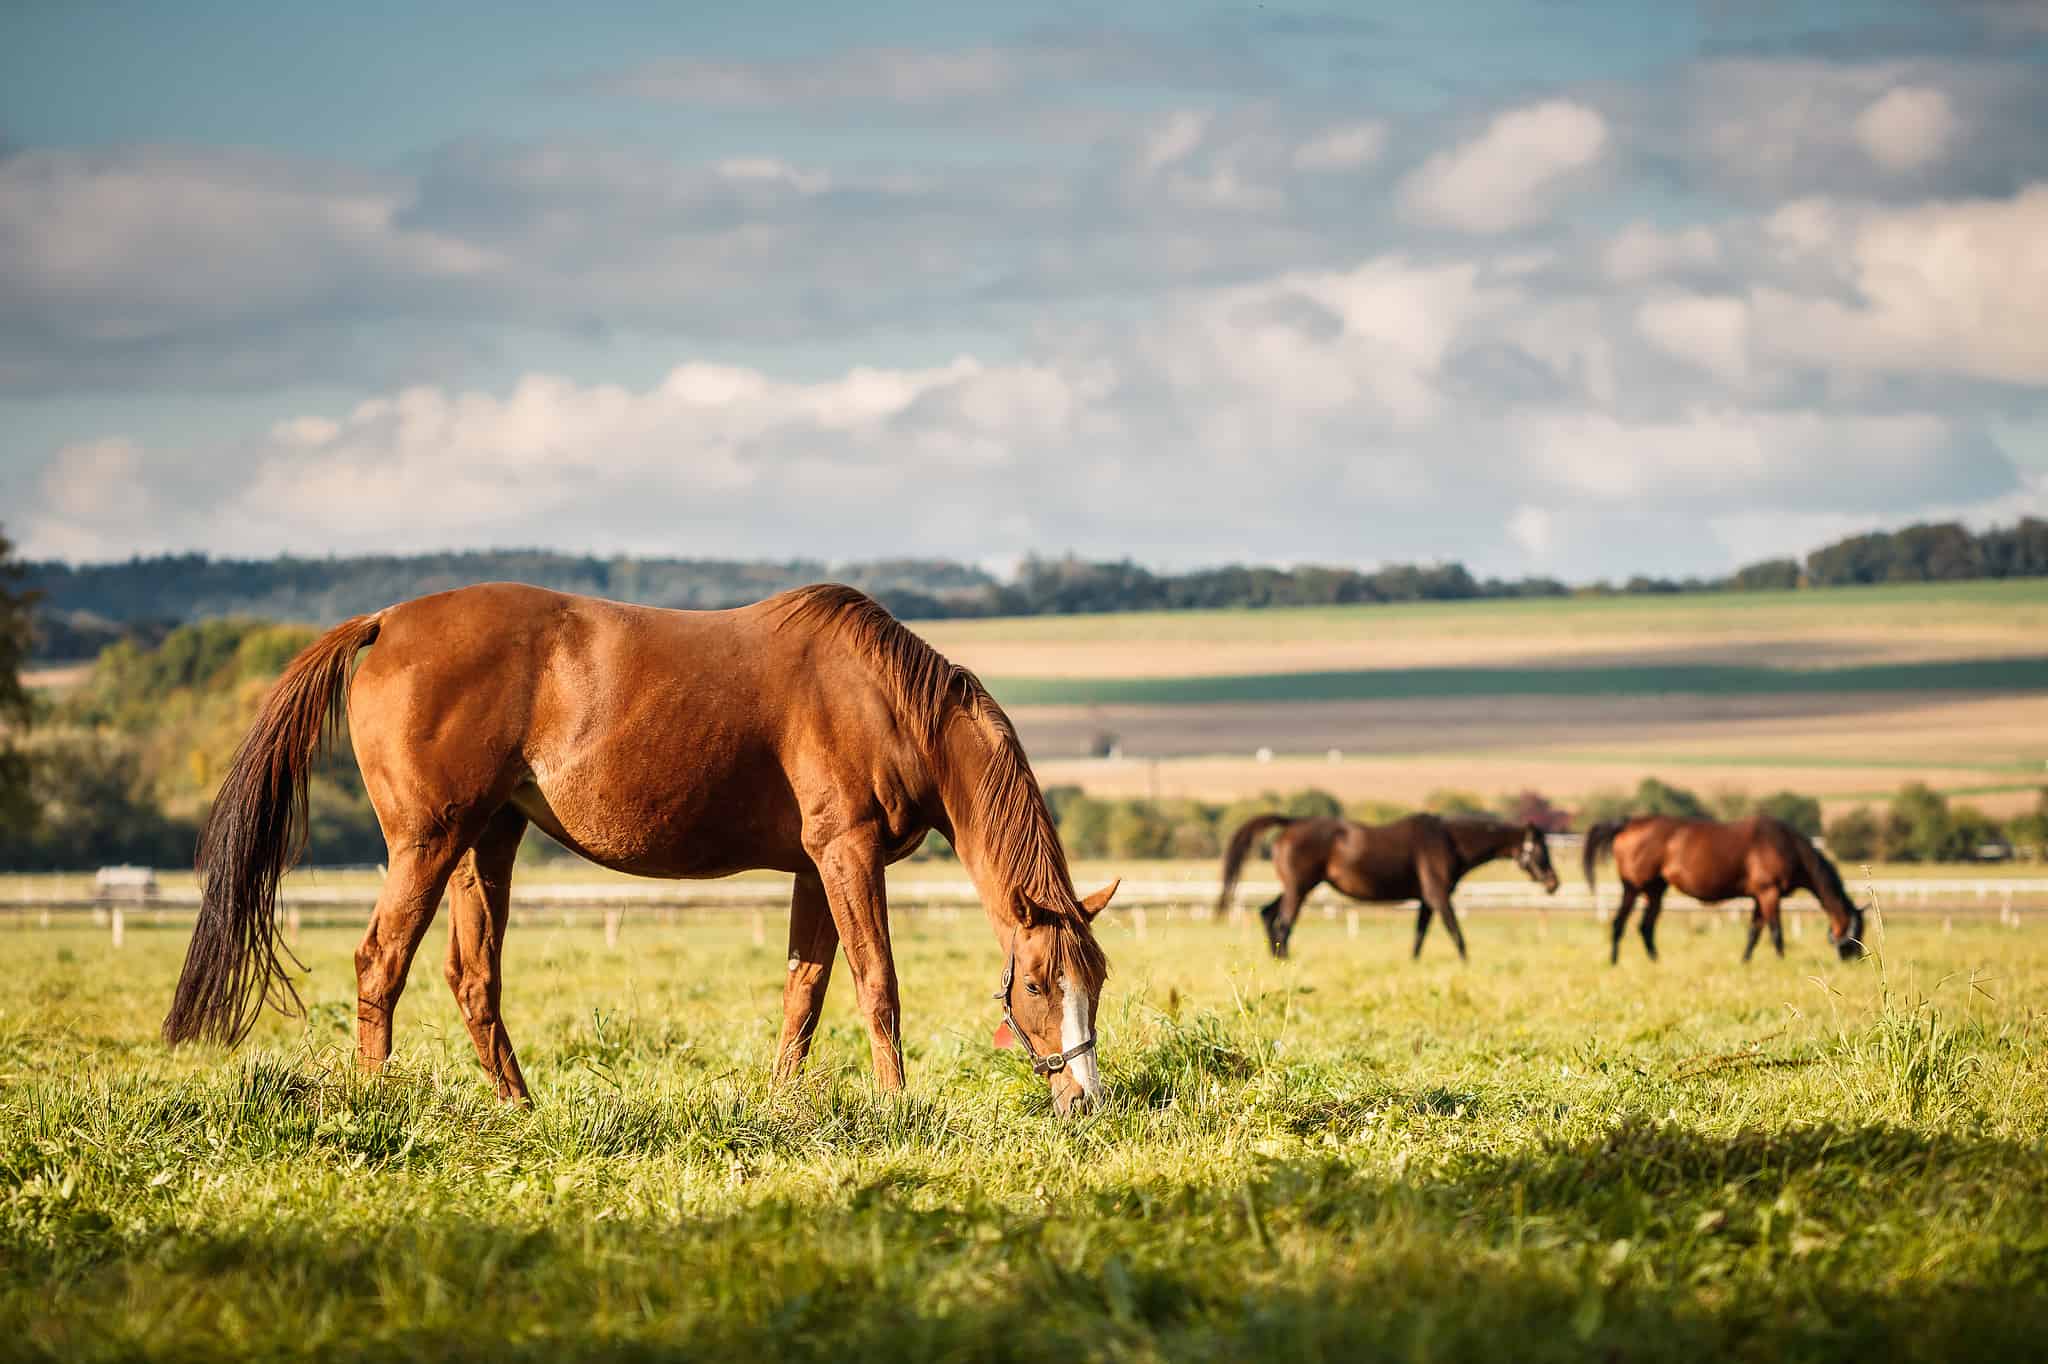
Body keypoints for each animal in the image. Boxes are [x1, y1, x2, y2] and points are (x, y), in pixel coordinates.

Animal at [159, 577, 1122, 1114]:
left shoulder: (814, 869)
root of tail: (387, 621)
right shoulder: (846, 856)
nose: (1084, 1103)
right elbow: (874, 984)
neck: (885, 701)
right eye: (1038, 985)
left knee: (472, 979)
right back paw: (374, 1102)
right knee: (380, 963)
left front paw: (785, 1107)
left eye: (1098, 983)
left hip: (485, 842)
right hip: (426, 844)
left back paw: (521, 1107)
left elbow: (803, 993)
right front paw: (895, 1107)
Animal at [1212, 811, 1548, 962]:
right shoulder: (1438, 895)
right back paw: (1285, 959)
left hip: (1299, 885)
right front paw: (1466, 964)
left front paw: (1415, 964)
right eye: (1540, 849)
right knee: (1282, 922)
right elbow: (1455, 931)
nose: (1553, 882)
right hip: (1300, 887)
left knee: (1268, 913)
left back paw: (1277, 957)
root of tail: (1292, 823)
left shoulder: (1426, 900)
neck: (1449, 842)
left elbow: (1420, 934)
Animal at [1581, 811, 1875, 962]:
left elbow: (1754, 931)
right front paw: (1782, 961)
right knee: (1620, 923)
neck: (1787, 846)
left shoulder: (1759, 896)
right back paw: (1615, 961)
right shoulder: (1769, 893)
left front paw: (1745, 961)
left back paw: (1655, 960)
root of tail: (1627, 823)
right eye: (1857, 931)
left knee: (1645, 926)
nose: (1855, 959)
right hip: (1633, 887)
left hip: (1655, 889)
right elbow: (1775, 931)